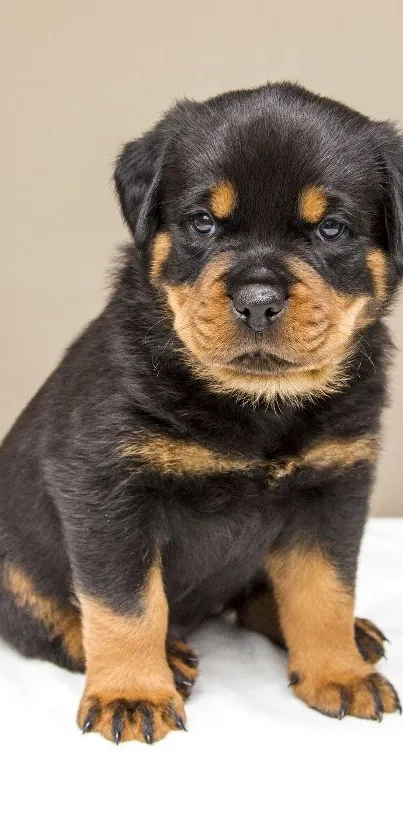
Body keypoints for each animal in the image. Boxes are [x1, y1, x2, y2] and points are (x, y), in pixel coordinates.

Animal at [0, 82, 403, 744]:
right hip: (13, 560)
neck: (257, 404)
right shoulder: (105, 489)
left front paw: (338, 672)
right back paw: (166, 657)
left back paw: (353, 637)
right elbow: (124, 603)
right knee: (50, 618)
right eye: (203, 222)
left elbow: (324, 590)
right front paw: (132, 692)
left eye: (331, 229)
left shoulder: (334, 487)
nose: (258, 301)